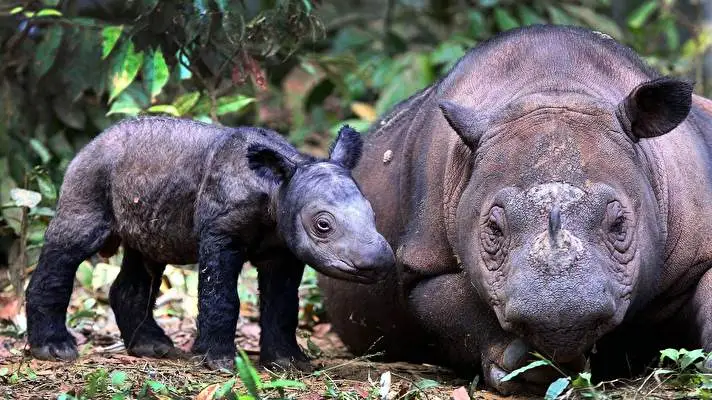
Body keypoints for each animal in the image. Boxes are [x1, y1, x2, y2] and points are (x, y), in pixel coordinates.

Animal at [319, 25, 712, 393]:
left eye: (619, 226)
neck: (554, 88)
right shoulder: (422, 260)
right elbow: (448, 303)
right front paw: (528, 370)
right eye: (494, 230)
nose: (561, 317)